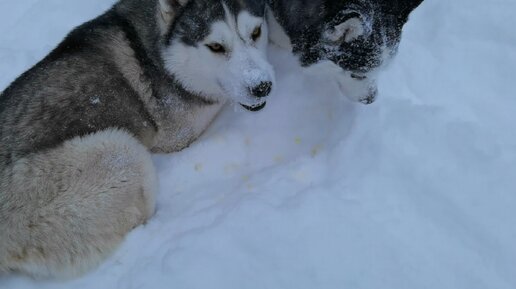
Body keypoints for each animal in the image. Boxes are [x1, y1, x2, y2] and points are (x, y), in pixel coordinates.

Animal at [0, 0, 274, 276]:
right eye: (216, 46)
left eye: (256, 32)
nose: (262, 86)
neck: (159, 55)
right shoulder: (178, 133)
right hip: (119, 154)